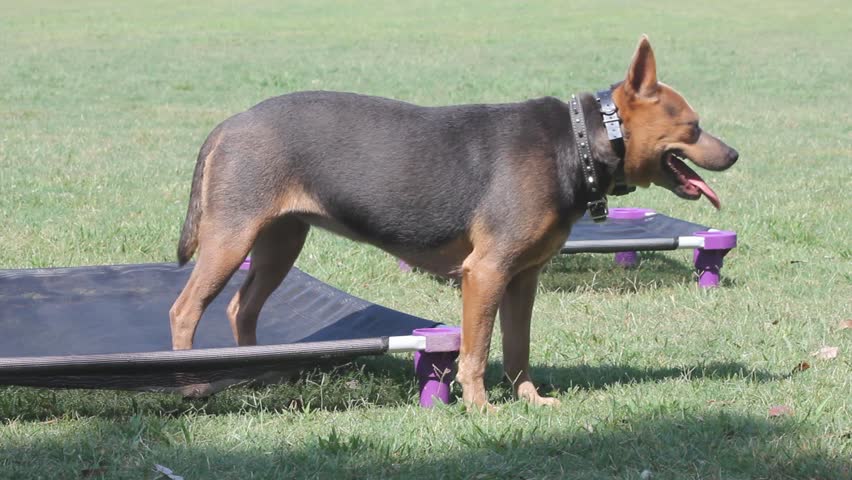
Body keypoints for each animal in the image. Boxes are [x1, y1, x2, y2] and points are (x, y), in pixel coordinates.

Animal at [168, 34, 740, 408]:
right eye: (693, 127)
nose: (734, 154)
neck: (576, 143)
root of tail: (230, 123)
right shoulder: (485, 273)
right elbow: (476, 350)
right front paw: (480, 407)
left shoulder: (522, 279)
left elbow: (517, 347)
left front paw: (528, 399)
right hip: (230, 238)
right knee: (185, 309)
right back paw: (192, 382)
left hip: (279, 242)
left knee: (242, 306)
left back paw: (258, 370)